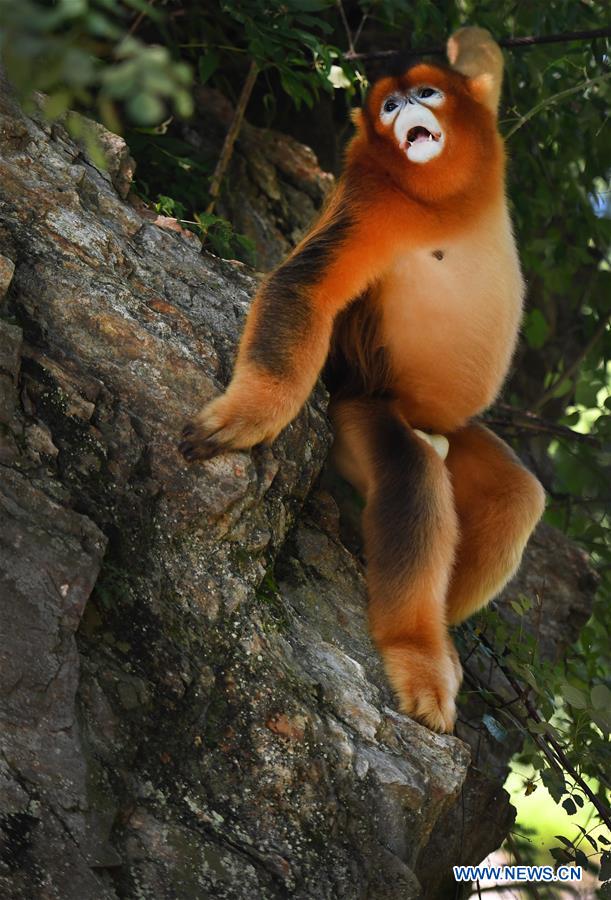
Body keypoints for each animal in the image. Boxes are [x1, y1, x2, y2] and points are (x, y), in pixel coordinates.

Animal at [179, 27, 545, 733]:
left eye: (426, 92)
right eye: (390, 105)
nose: (407, 110)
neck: (445, 200)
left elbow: (485, 69)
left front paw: (469, 41)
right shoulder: (372, 198)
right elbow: (306, 290)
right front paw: (248, 414)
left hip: (445, 429)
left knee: (517, 499)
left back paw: (444, 634)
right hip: (360, 411)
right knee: (412, 476)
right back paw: (418, 651)